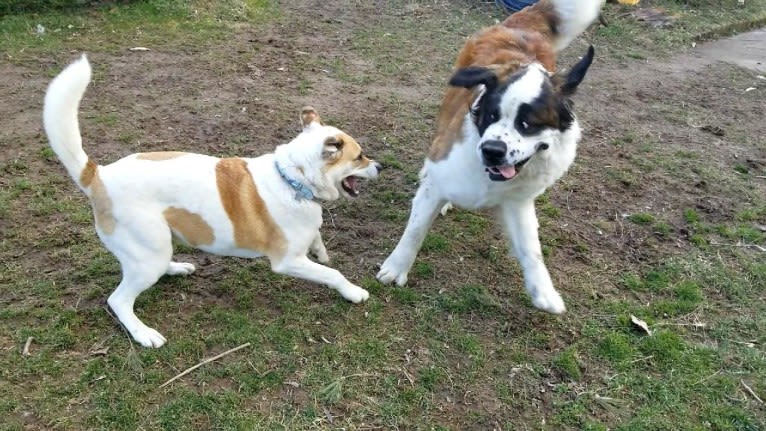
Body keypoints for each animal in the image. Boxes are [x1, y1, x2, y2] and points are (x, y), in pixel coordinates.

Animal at [42, 56, 384, 348]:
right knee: (119, 300)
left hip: (155, 247)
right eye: (360, 156)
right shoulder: (288, 261)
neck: (292, 179)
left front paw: (320, 249)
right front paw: (353, 292)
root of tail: (97, 175)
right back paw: (144, 334)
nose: (381, 166)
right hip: (148, 254)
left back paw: (176, 268)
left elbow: (319, 242)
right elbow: (332, 274)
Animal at [378, 0, 608, 314]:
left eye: (527, 124)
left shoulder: (518, 201)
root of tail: (520, 28)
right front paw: (396, 267)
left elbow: (531, 248)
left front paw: (543, 291)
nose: (492, 150)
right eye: (491, 116)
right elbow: (415, 229)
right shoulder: (439, 179)